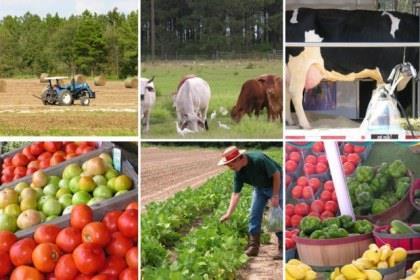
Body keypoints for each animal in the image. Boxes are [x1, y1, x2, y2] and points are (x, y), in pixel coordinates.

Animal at [284, 8, 418, 129]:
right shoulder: (388, 70)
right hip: (299, 66)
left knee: (287, 91)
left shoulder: (382, 77)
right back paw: (305, 124)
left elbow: (378, 98)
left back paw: (290, 122)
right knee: (295, 92)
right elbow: (389, 99)